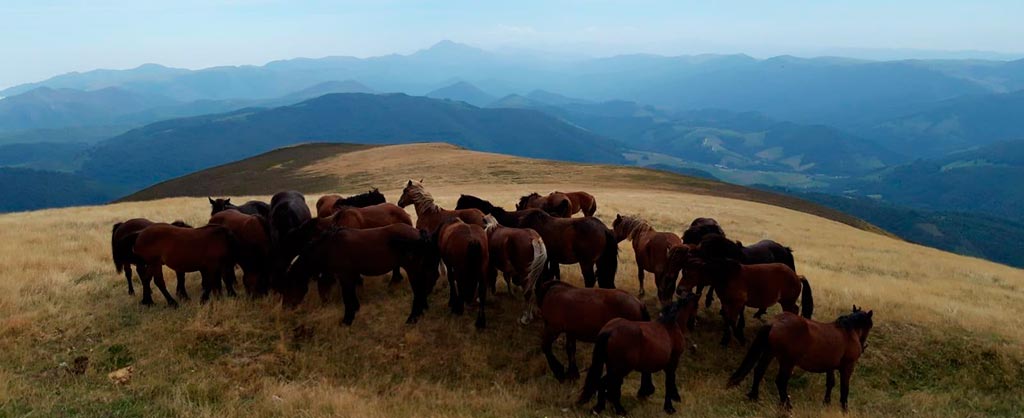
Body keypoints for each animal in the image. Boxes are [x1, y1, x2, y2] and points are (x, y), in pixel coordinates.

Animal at [282, 224, 441, 325]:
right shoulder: (350, 275)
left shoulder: (344, 275)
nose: (285, 308)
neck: (330, 246)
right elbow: (352, 294)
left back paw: (412, 318)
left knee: (418, 291)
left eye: (289, 286)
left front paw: (347, 320)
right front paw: (355, 310)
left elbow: (347, 296)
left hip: (413, 270)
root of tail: (418, 234)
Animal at [673, 253, 813, 347]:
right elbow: (727, 320)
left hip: (787, 301)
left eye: (689, 274)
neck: (727, 276)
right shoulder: (727, 303)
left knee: (793, 310)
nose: (679, 290)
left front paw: (738, 339)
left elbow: (732, 321)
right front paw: (728, 339)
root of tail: (797, 276)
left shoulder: (737, 303)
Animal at [728, 307, 874, 412]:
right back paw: (786, 405)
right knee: (780, 381)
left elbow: (830, 384)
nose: (863, 346)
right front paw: (844, 409)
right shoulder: (848, 367)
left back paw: (754, 396)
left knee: (759, 371)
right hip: (787, 362)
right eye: (869, 326)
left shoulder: (830, 367)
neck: (847, 332)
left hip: (769, 353)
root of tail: (775, 322)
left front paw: (826, 403)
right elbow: (844, 388)